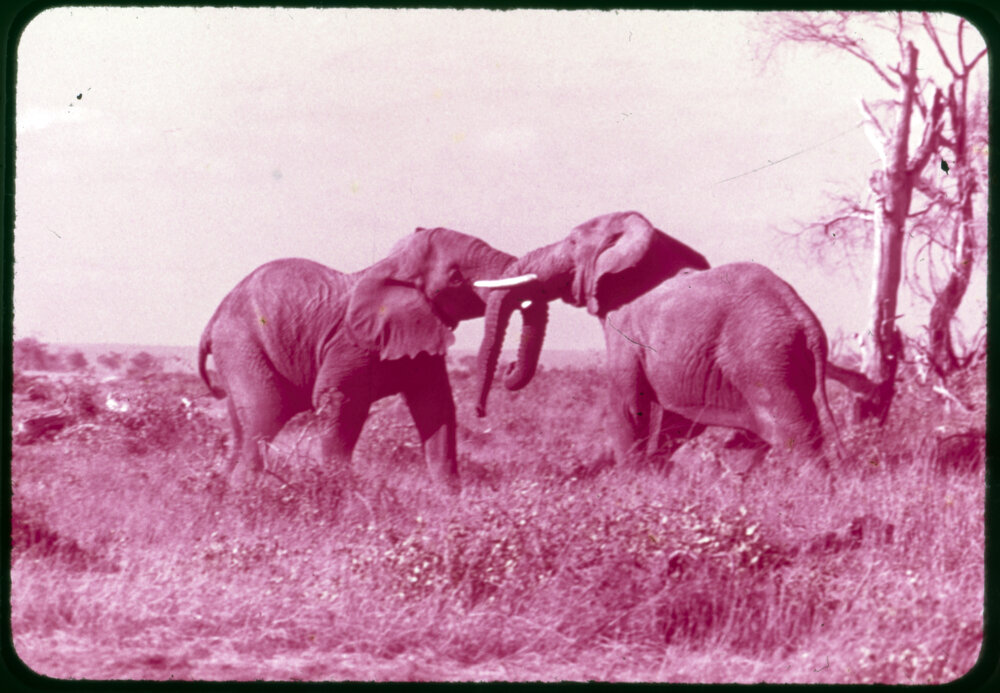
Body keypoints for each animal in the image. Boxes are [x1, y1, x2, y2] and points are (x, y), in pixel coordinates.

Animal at [198, 226, 540, 490]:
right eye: (456, 278)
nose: (482, 410)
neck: (393, 267)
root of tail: (212, 321)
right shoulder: (351, 342)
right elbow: (339, 402)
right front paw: (342, 498)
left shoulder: (421, 336)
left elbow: (436, 407)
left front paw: (451, 504)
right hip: (241, 345)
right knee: (264, 415)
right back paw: (243, 496)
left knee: (241, 428)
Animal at [473, 211, 843, 477]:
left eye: (573, 241)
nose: (480, 413)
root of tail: (806, 320)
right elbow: (676, 421)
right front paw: (657, 475)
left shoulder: (625, 328)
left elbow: (626, 403)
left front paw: (633, 483)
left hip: (764, 359)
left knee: (795, 434)